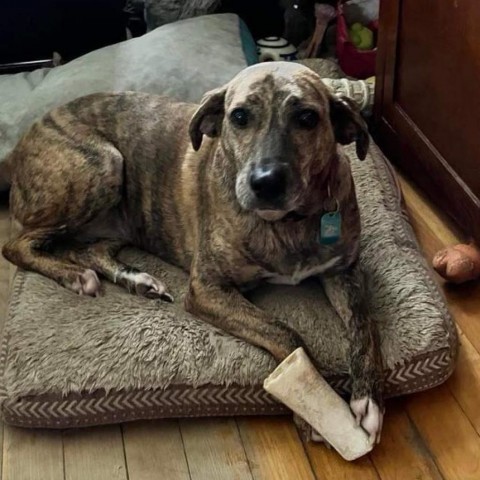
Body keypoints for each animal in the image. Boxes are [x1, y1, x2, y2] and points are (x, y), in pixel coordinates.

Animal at [0, 62, 382, 442]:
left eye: (307, 118)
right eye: (239, 116)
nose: (266, 182)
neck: (286, 223)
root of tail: (19, 146)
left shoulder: (344, 272)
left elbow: (365, 325)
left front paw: (368, 401)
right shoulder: (207, 289)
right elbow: (285, 333)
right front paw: (313, 410)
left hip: (126, 218)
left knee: (88, 249)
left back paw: (136, 280)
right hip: (102, 166)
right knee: (17, 245)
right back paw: (76, 277)